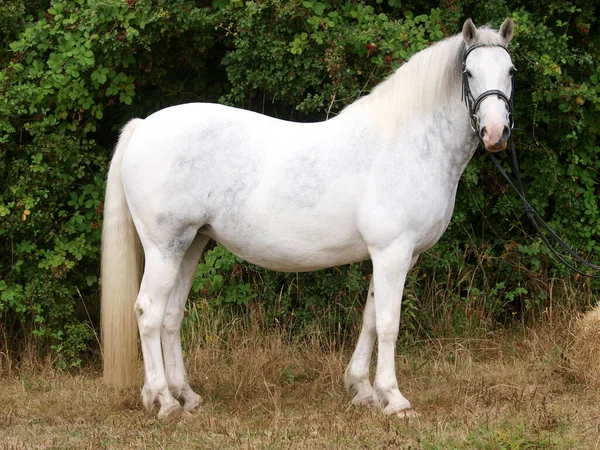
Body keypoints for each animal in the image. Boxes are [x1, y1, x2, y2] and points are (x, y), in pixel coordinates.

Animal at [101, 17, 512, 418]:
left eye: (510, 70)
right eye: (469, 72)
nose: (496, 133)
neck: (406, 143)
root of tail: (142, 125)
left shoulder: (393, 256)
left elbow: (370, 318)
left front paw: (362, 389)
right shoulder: (393, 252)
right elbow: (388, 323)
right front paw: (394, 399)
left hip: (191, 244)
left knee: (171, 316)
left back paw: (186, 395)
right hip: (165, 247)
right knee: (148, 312)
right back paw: (164, 401)